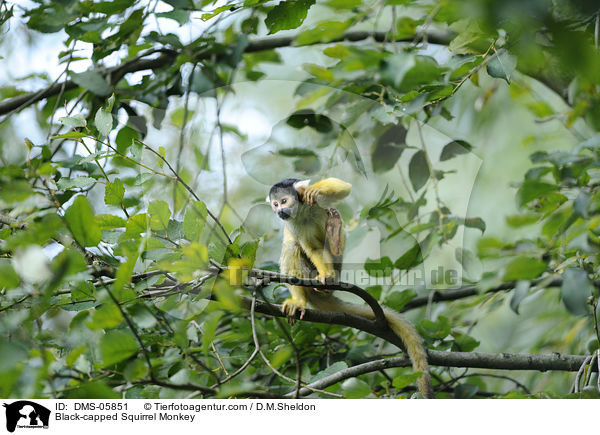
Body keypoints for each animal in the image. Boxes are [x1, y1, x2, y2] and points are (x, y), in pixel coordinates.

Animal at [270, 176, 434, 398]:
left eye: (283, 201)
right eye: (275, 204)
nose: (279, 211)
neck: (301, 212)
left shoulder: (315, 204)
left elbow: (342, 188)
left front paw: (314, 190)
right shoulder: (292, 224)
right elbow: (310, 248)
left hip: (337, 263)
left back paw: (334, 235)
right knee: (292, 246)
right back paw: (300, 300)